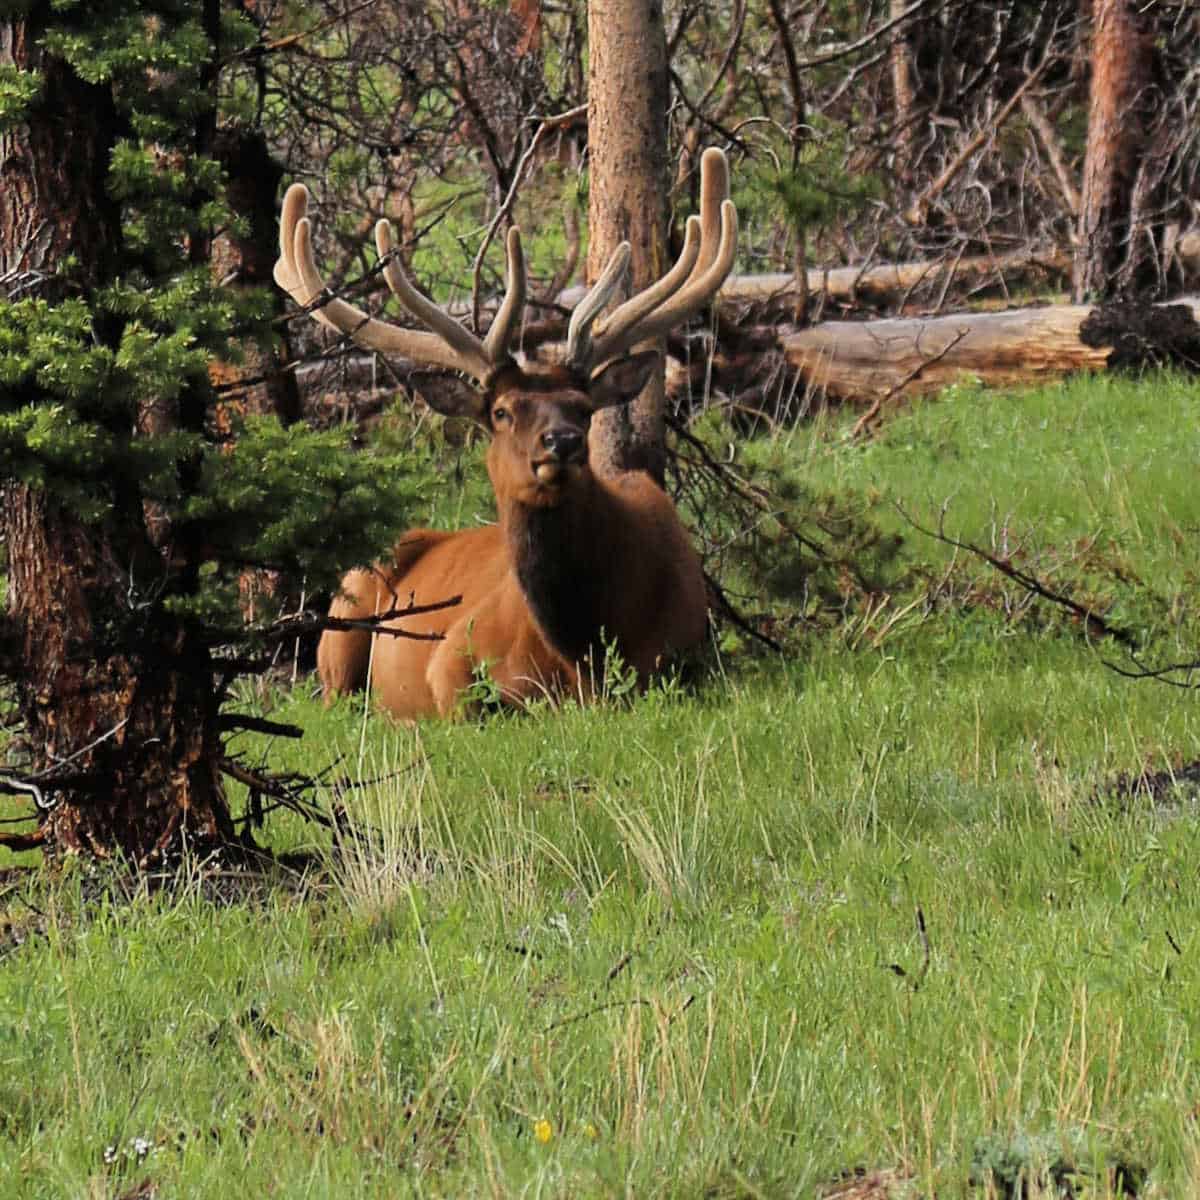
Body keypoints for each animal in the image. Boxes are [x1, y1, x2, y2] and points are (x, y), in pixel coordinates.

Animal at [274, 146, 734, 715]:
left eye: (584, 409)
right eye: (501, 412)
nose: (561, 442)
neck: (585, 650)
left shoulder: (690, 655)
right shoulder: (449, 658)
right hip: (345, 611)